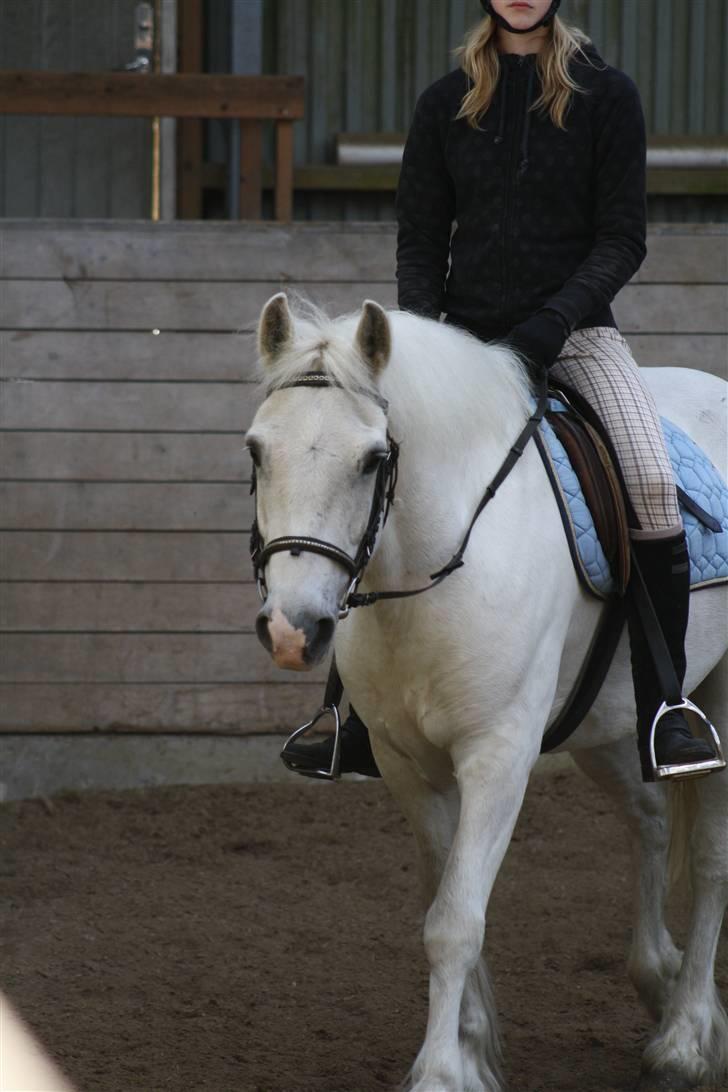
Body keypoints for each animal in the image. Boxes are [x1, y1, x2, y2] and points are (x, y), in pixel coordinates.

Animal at [247, 294, 724, 1092]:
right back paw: (659, 979)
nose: (292, 630)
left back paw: (686, 1038)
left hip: (720, 701)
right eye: (257, 451)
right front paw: (470, 1053)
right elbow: (441, 902)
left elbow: (455, 922)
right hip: (608, 720)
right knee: (651, 818)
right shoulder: (408, 765)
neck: (433, 567)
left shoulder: (497, 759)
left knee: (713, 856)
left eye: (373, 459)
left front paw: (441, 1073)